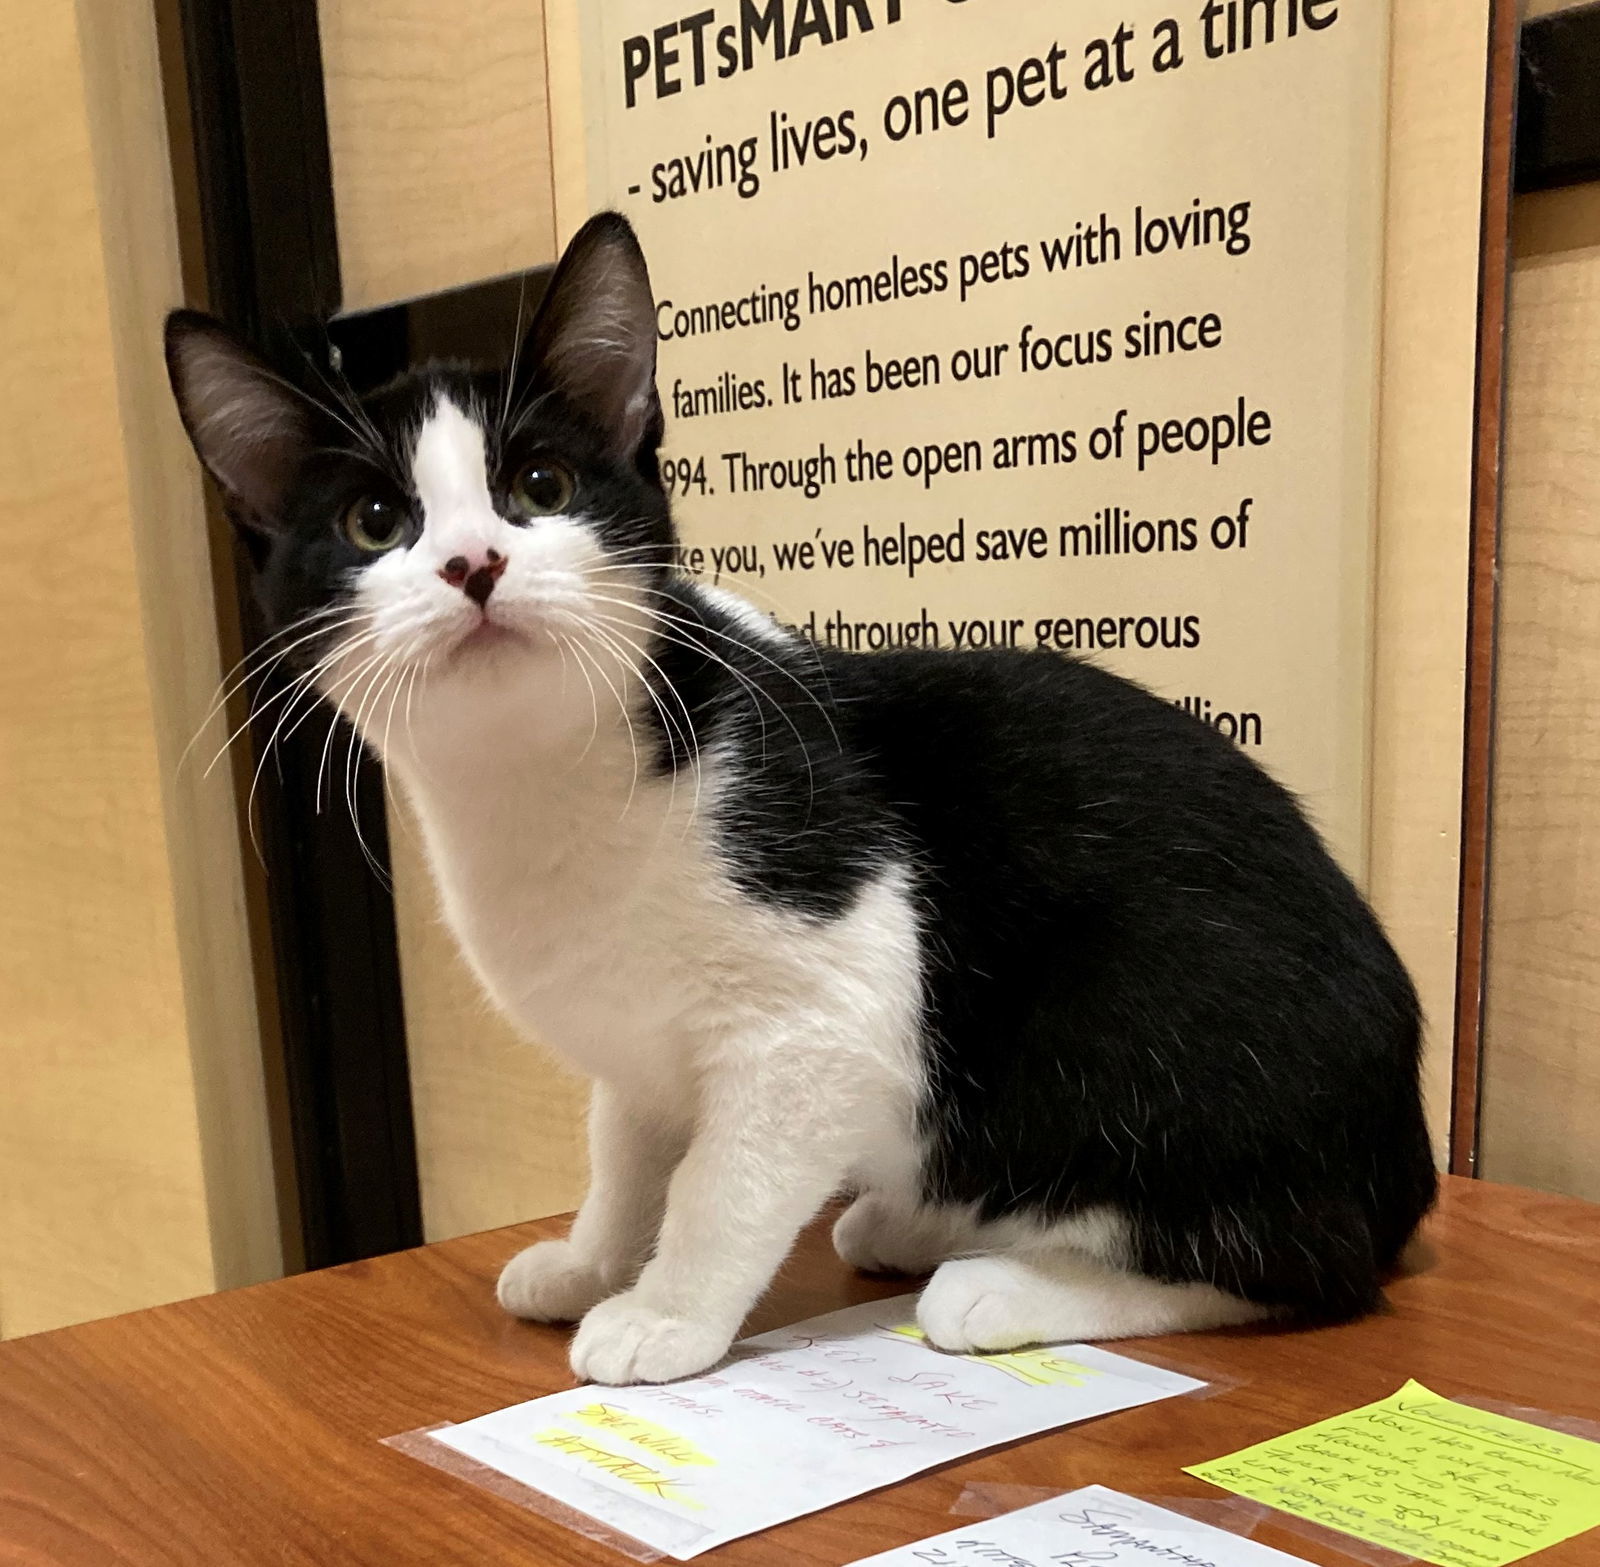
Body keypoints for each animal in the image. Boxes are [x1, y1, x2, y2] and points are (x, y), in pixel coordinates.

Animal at [165, 208, 1440, 1382]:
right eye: (374, 521)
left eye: (540, 484)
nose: (473, 564)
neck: (541, 777)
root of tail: (1400, 1150)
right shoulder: (637, 1041)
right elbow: (628, 1147)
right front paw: (591, 1257)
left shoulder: (824, 1001)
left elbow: (718, 1182)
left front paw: (664, 1312)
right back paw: (924, 1216)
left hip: (1150, 1018)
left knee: (1301, 1256)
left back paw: (1017, 1280)